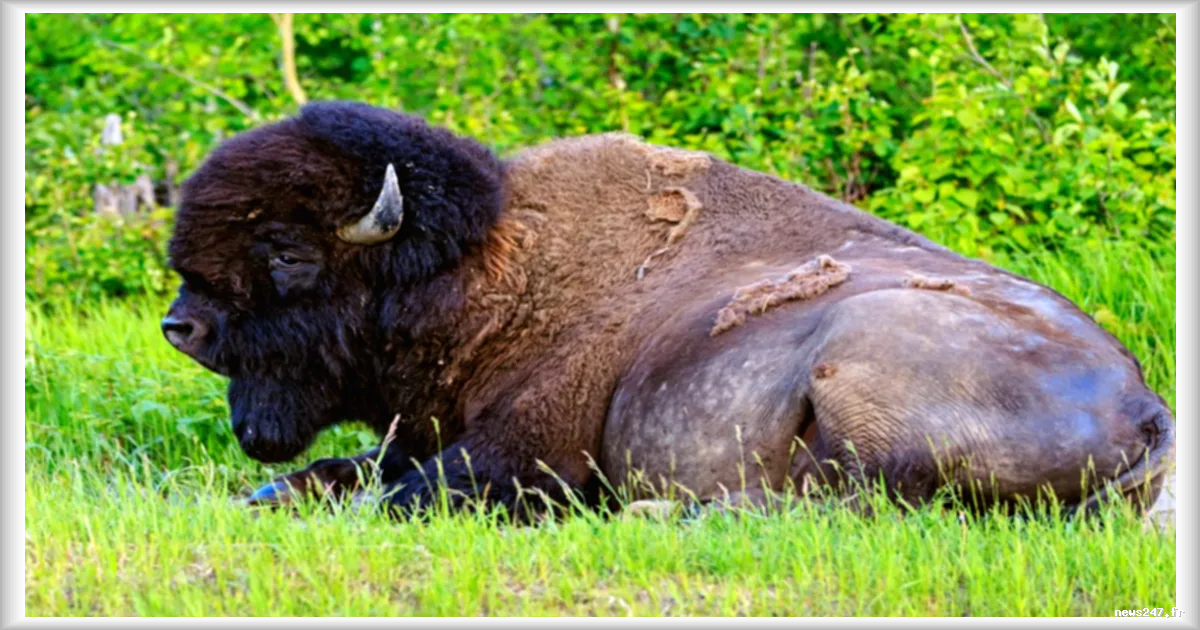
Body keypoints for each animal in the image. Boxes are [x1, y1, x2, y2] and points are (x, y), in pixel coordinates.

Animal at [162, 101, 1174, 520]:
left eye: (287, 252)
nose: (183, 327)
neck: (492, 272)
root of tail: (1144, 406)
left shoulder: (522, 450)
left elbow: (407, 495)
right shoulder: (419, 437)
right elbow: (346, 471)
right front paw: (265, 492)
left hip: (860, 368)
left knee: (838, 509)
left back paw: (648, 513)